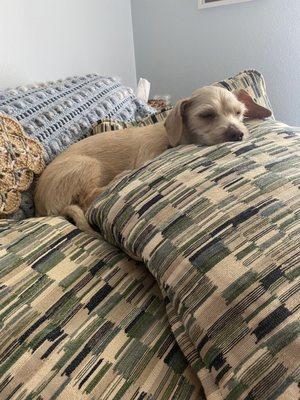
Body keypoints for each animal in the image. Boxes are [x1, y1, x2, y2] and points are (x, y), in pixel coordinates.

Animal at [34, 86, 270, 233]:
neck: (172, 138)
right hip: (88, 165)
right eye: (206, 115)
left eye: (239, 113)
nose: (238, 134)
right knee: (86, 197)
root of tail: (46, 207)